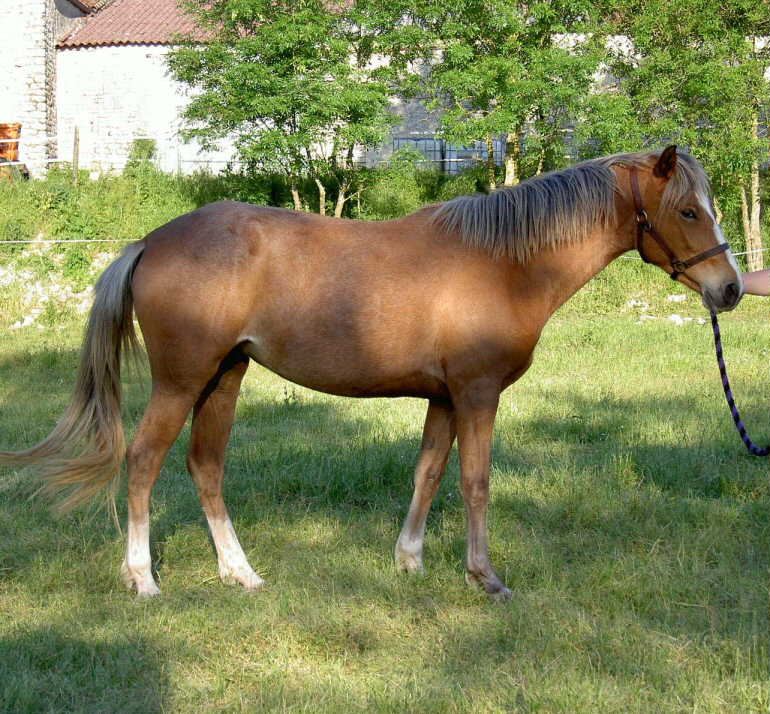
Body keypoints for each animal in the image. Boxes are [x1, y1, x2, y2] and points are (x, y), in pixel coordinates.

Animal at [1, 146, 744, 596]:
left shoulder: (444, 398)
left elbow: (429, 472)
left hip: (224, 377)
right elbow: (475, 482)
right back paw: (143, 578)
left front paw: (409, 559)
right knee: (145, 461)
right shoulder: (477, 395)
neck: (502, 263)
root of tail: (153, 240)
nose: (731, 288)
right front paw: (484, 576)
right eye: (687, 210)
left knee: (204, 467)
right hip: (182, 381)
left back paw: (240, 573)